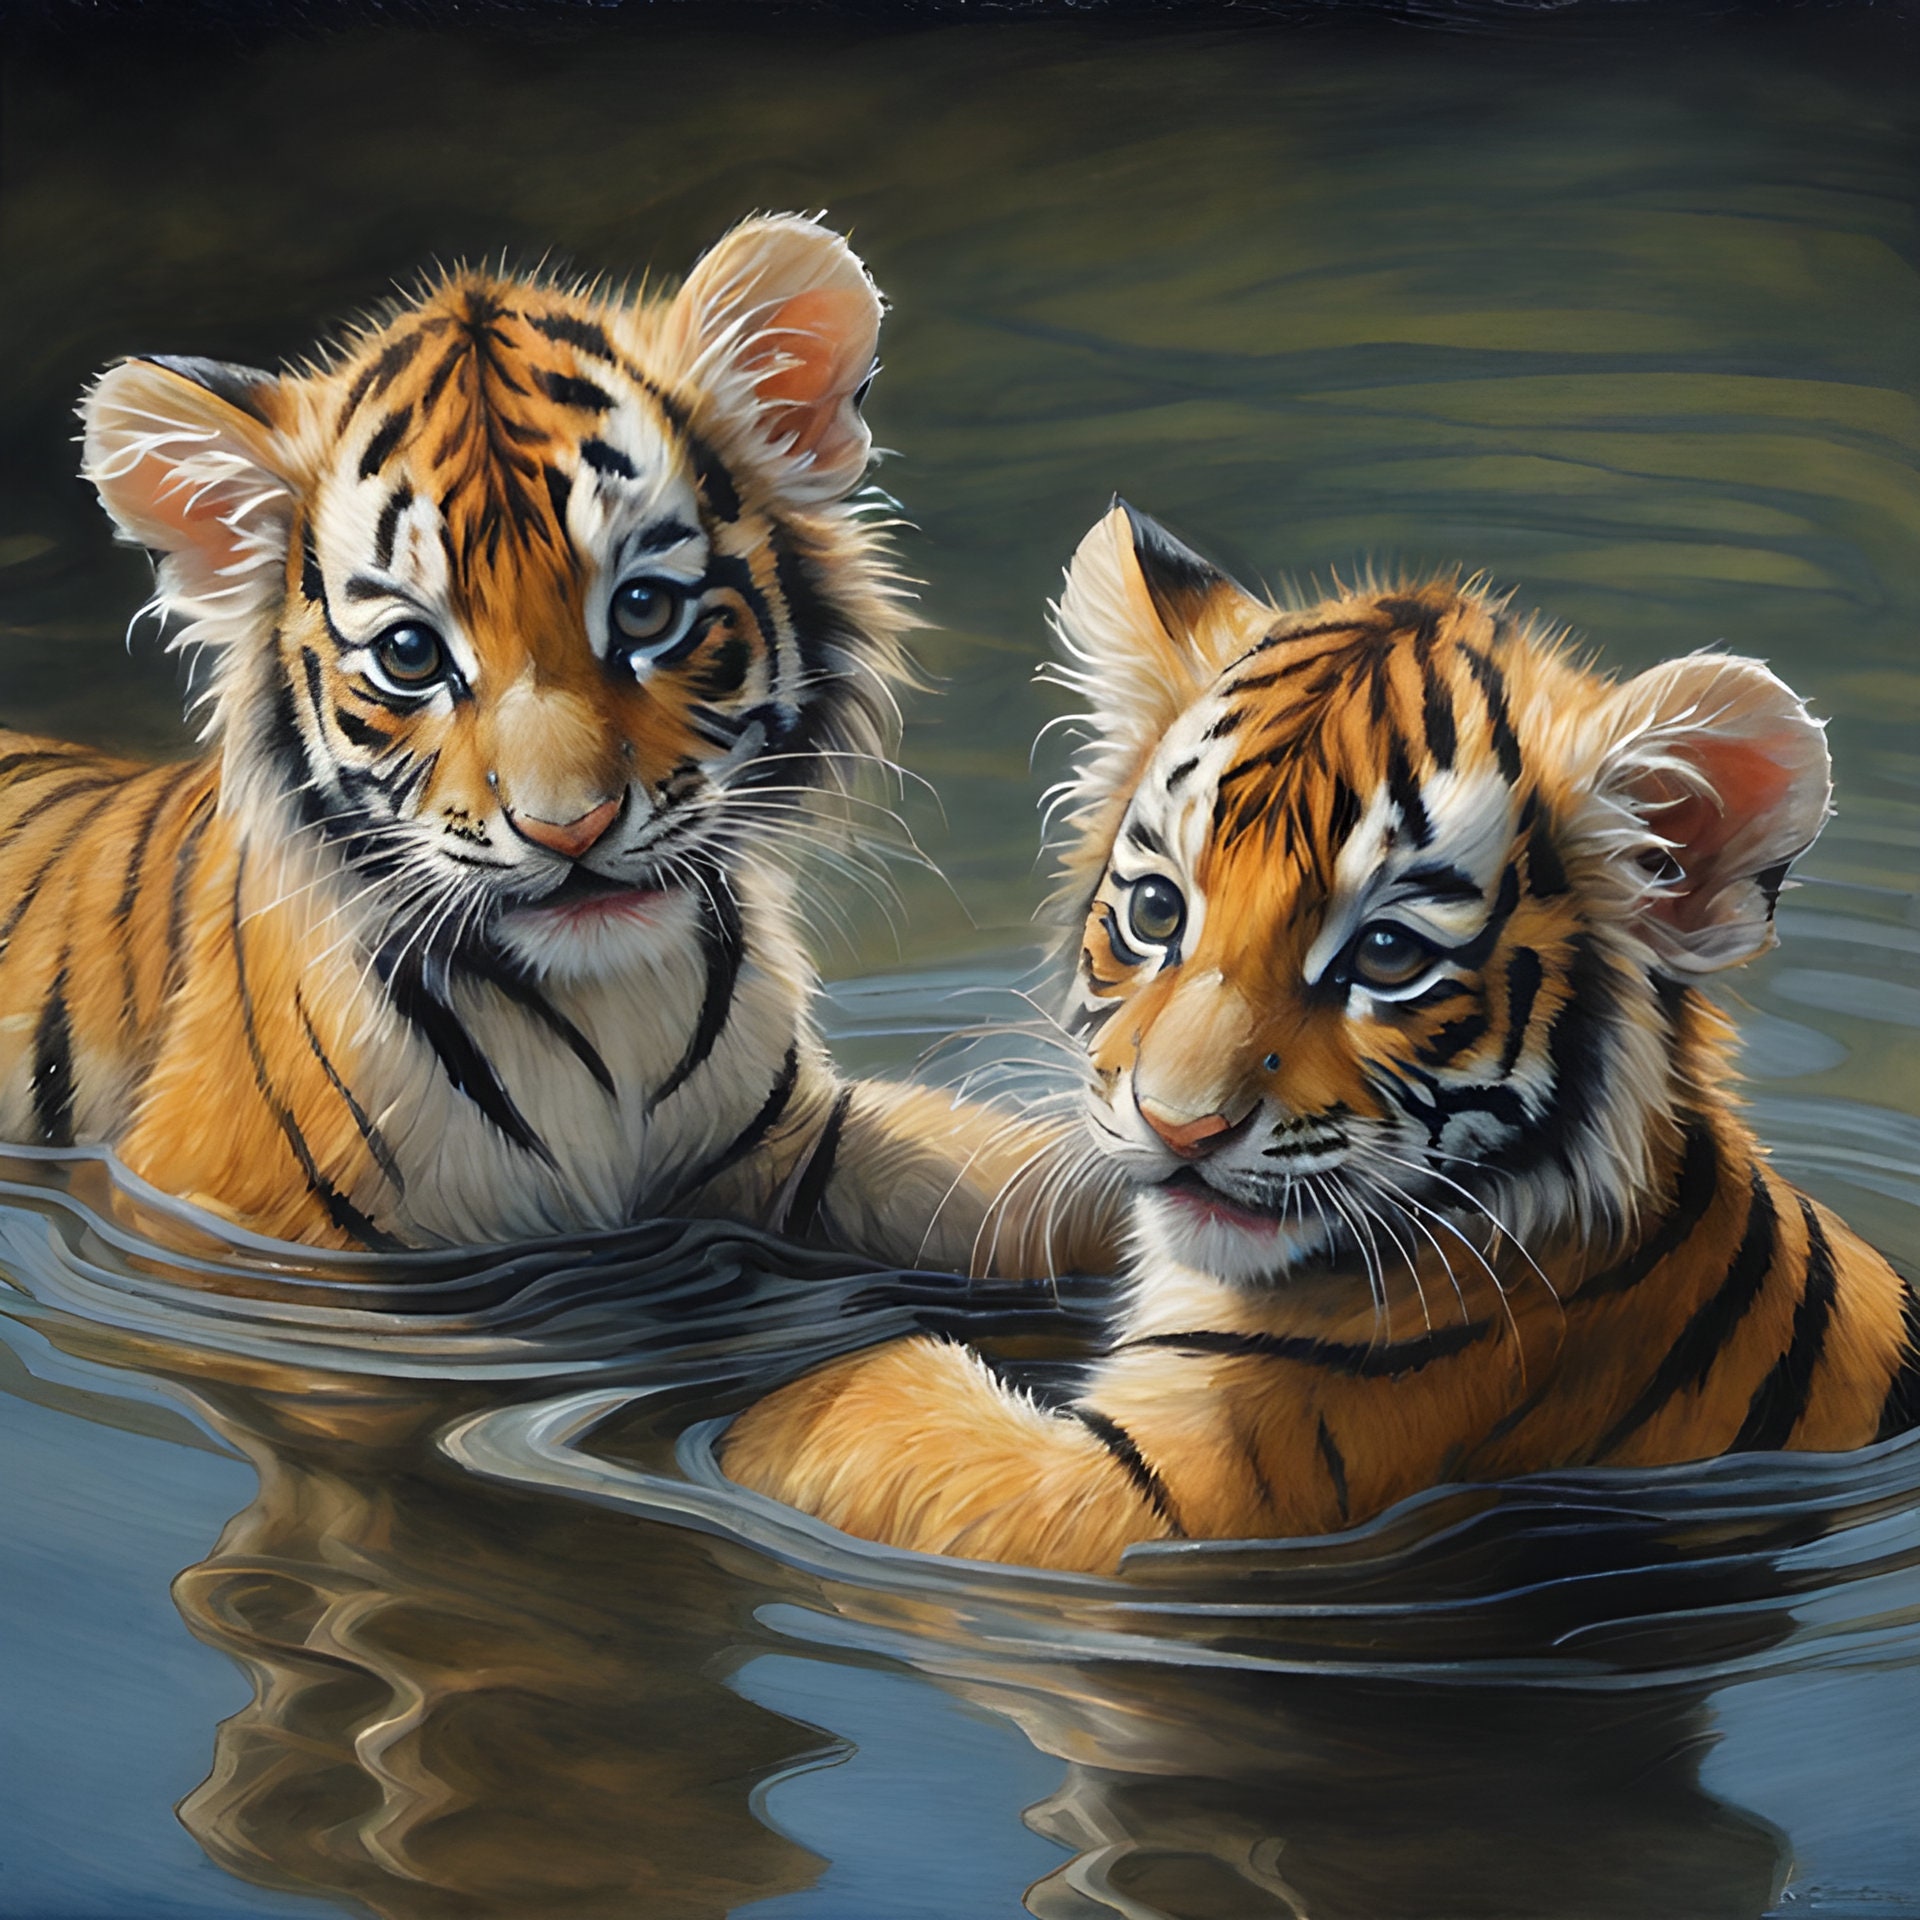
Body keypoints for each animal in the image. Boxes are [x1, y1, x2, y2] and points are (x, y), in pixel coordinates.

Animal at [0, 213, 1110, 1270]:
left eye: (646, 609)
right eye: (410, 653)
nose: (570, 830)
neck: (609, 1019)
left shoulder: (796, 1142)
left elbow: (1012, 1182)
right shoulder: (227, 1223)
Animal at [723, 501, 1917, 1573]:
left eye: (1387, 956)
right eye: (1155, 911)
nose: (1179, 1127)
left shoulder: (1158, 1499)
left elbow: (841, 1414)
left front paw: (747, 1419)